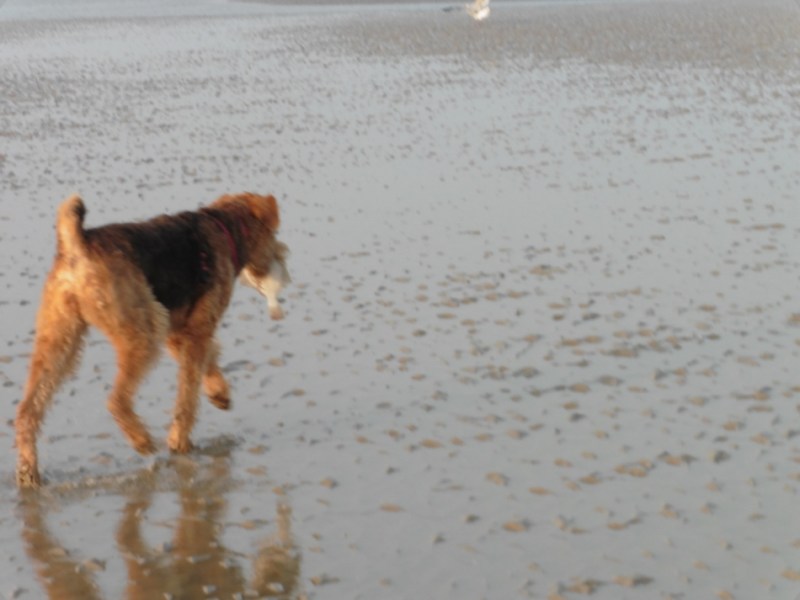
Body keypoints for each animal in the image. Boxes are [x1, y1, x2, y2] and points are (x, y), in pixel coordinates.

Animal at [15, 193, 290, 488]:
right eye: (274, 234)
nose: (282, 260)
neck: (225, 229)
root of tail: (76, 245)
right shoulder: (196, 330)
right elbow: (187, 394)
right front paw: (180, 441)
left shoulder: (179, 329)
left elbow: (208, 362)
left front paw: (220, 395)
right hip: (144, 332)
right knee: (117, 401)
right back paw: (143, 441)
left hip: (59, 339)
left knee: (27, 411)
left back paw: (28, 474)